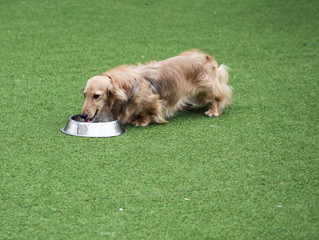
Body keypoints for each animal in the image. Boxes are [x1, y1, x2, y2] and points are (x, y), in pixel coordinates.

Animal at [81, 49, 234, 126]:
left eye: (96, 96)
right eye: (84, 94)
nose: (83, 115)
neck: (128, 87)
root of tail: (205, 56)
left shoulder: (153, 100)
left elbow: (148, 111)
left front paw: (141, 121)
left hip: (207, 88)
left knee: (215, 98)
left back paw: (213, 111)